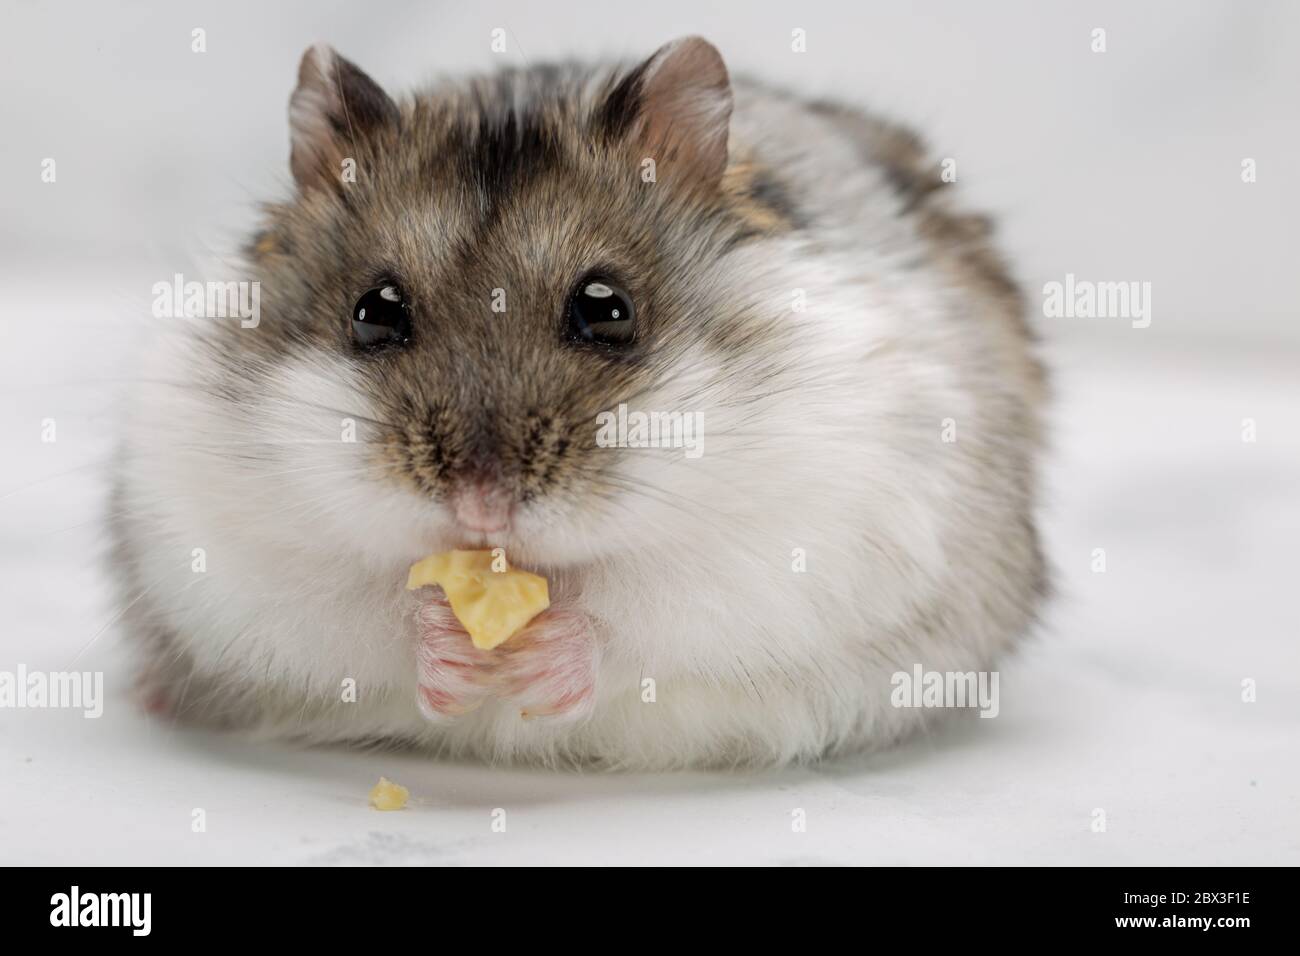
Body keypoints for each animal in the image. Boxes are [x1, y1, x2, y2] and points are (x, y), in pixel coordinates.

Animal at [109, 35, 1045, 770]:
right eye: (374, 311)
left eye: (607, 308)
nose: (479, 508)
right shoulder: (214, 536)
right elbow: (347, 609)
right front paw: (443, 642)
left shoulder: (818, 527)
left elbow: (647, 611)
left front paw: (547, 653)